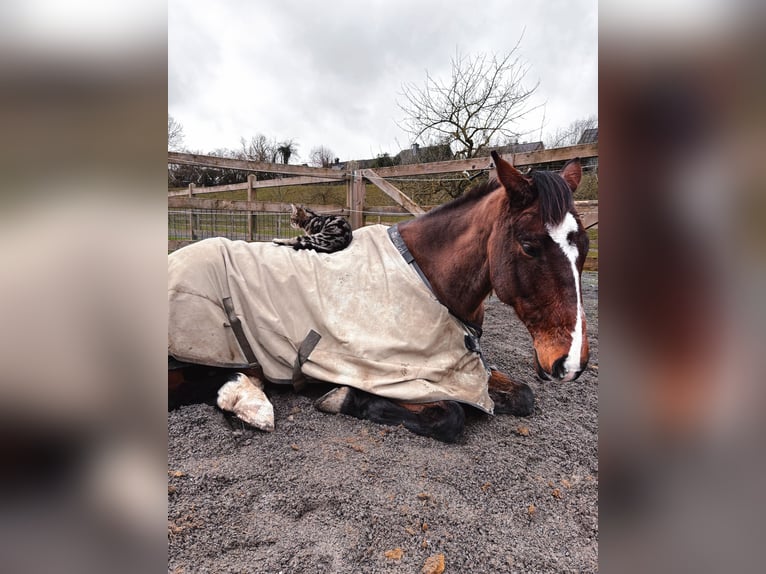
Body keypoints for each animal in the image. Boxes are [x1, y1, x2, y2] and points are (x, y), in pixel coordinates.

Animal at [166, 151, 588, 444]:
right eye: (529, 246)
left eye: (583, 247)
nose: (570, 364)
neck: (426, 277)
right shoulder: (394, 375)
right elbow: (451, 415)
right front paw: (343, 398)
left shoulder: (465, 366)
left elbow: (523, 394)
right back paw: (251, 404)